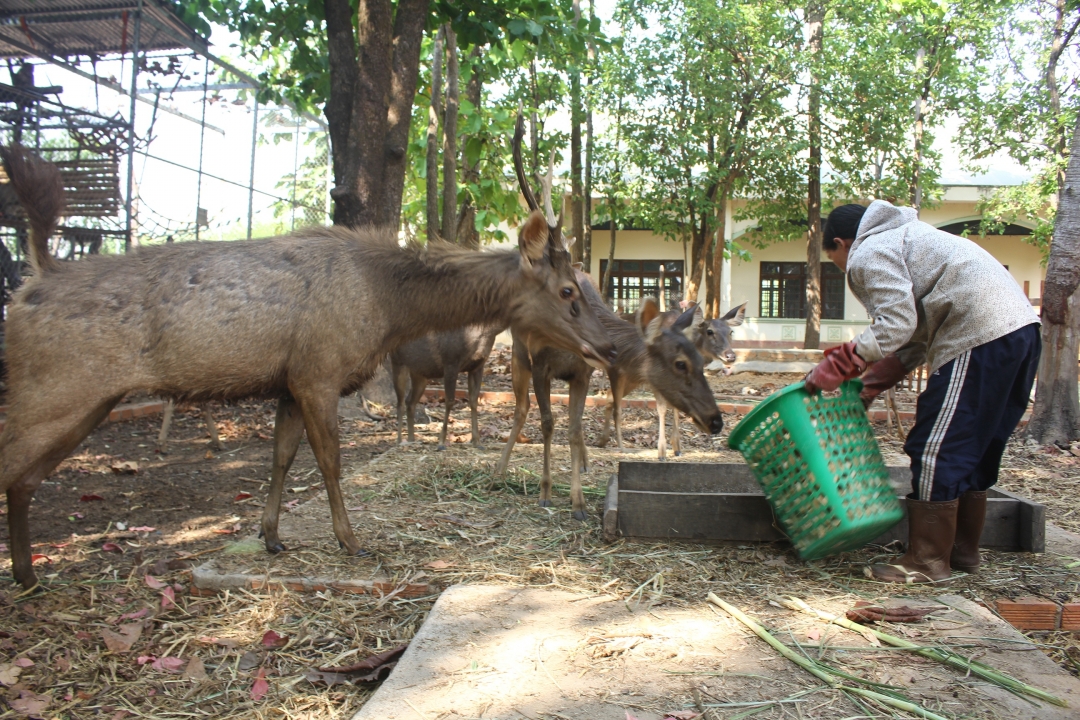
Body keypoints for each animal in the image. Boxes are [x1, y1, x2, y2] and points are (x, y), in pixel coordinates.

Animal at [0, 132, 617, 587]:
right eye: (567, 289)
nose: (607, 346)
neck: (386, 304)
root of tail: (32, 281)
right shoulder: (318, 371)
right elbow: (330, 463)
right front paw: (352, 542)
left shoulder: (288, 383)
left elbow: (280, 459)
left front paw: (272, 536)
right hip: (58, 389)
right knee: (14, 470)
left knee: (22, 479)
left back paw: (29, 577)